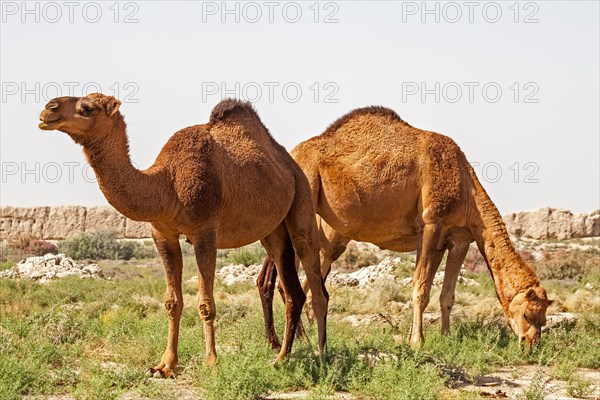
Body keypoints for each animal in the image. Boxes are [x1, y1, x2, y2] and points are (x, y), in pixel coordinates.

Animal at [38, 94, 328, 378]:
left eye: (87, 108)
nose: (47, 110)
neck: (167, 183)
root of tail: (289, 163)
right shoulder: (162, 234)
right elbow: (172, 302)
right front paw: (164, 365)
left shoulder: (205, 232)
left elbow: (206, 303)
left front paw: (211, 361)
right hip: (272, 232)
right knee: (293, 292)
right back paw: (282, 357)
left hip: (302, 202)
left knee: (316, 284)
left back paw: (318, 355)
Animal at [255, 105, 552, 350]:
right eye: (528, 314)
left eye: (544, 319)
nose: (530, 344)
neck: (466, 187)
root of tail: (293, 154)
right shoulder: (431, 224)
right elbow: (421, 288)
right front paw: (417, 342)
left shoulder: (457, 238)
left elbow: (446, 294)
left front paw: (444, 337)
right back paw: (297, 341)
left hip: (326, 235)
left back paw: (297, 339)